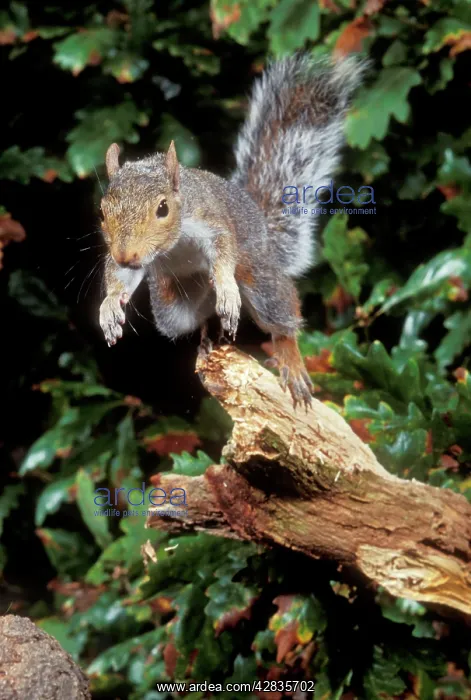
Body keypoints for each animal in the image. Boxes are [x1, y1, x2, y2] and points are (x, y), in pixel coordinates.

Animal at [99, 53, 364, 408]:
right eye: (102, 211)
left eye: (163, 208)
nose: (127, 255)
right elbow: (117, 276)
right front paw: (110, 305)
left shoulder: (212, 221)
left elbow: (224, 250)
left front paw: (225, 285)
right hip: (174, 305)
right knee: (193, 318)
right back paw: (210, 335)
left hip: (258, 276)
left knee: (281, 316)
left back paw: (289, 359)